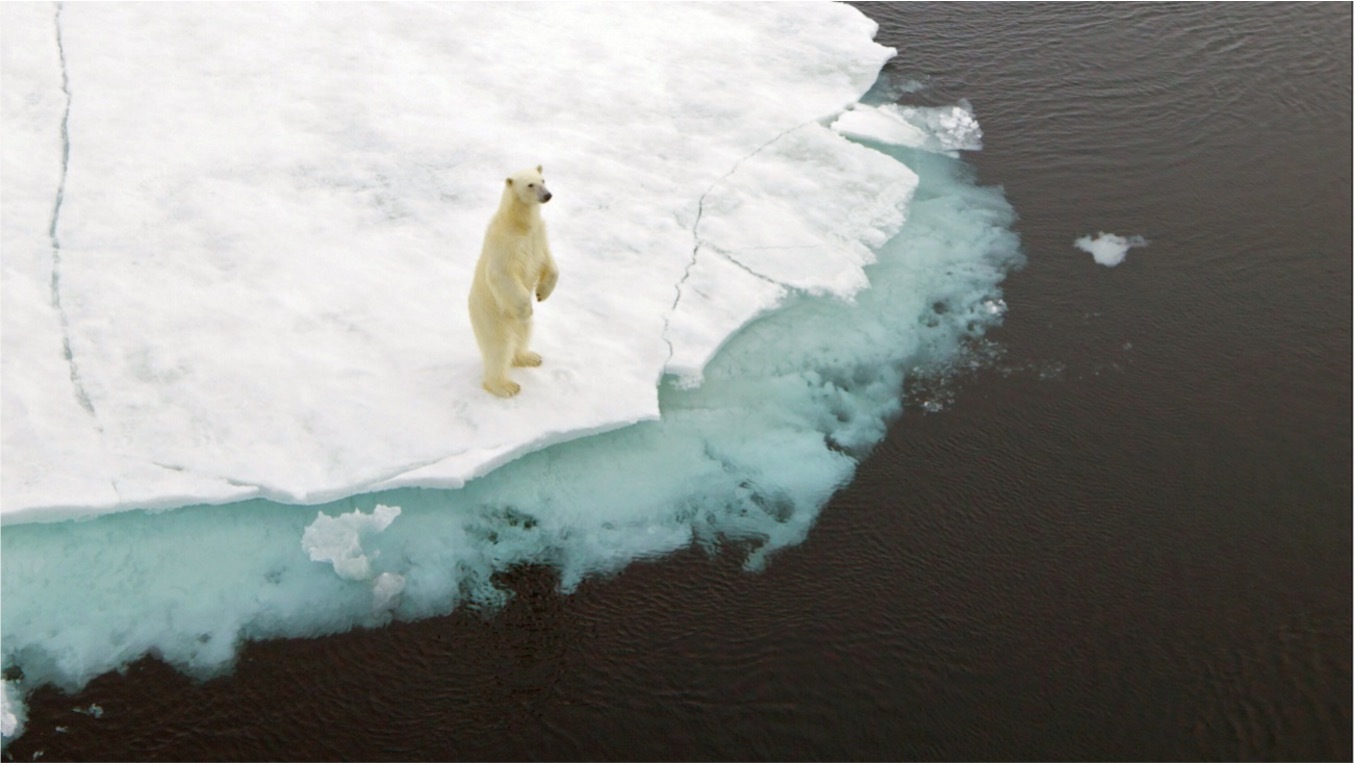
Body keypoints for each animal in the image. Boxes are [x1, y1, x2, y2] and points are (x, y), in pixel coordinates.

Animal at [469, 164, 558, 398]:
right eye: (530, 184)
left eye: (543, 180)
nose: (547, 195)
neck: (519, 224)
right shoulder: (504, 243)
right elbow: (501, 274)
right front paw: (528, 308)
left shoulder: (538, 236)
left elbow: (548, 262)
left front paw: (542, 293)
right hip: (491, 317)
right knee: (499, 347)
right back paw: (505, 386)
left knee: (523, 334)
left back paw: (529, 357)